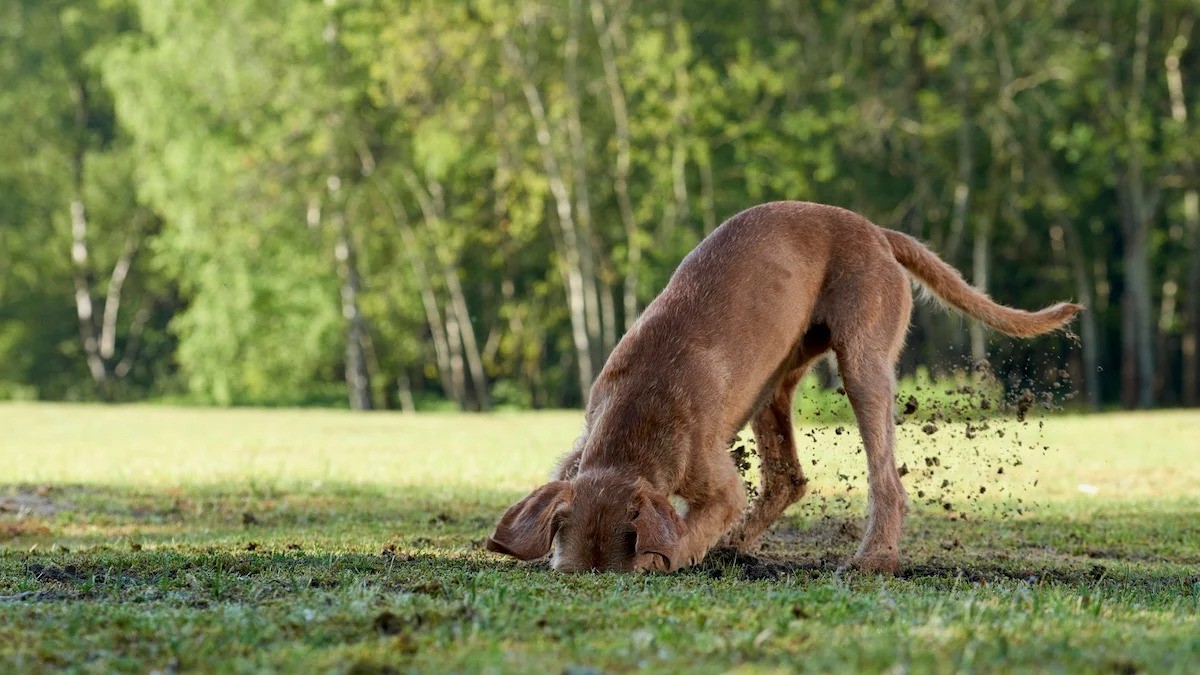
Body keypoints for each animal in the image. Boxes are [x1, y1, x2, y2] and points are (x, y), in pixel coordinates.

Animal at [482, 200, 1084, 571]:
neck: (635, 420)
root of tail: (875, 230)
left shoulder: (717, 483)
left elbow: (686, 533)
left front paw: (673, 556)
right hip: (773, 386)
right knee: (787, 478)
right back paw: (738, 545)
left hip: (863, 364)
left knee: (886, 481)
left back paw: (874, 559)